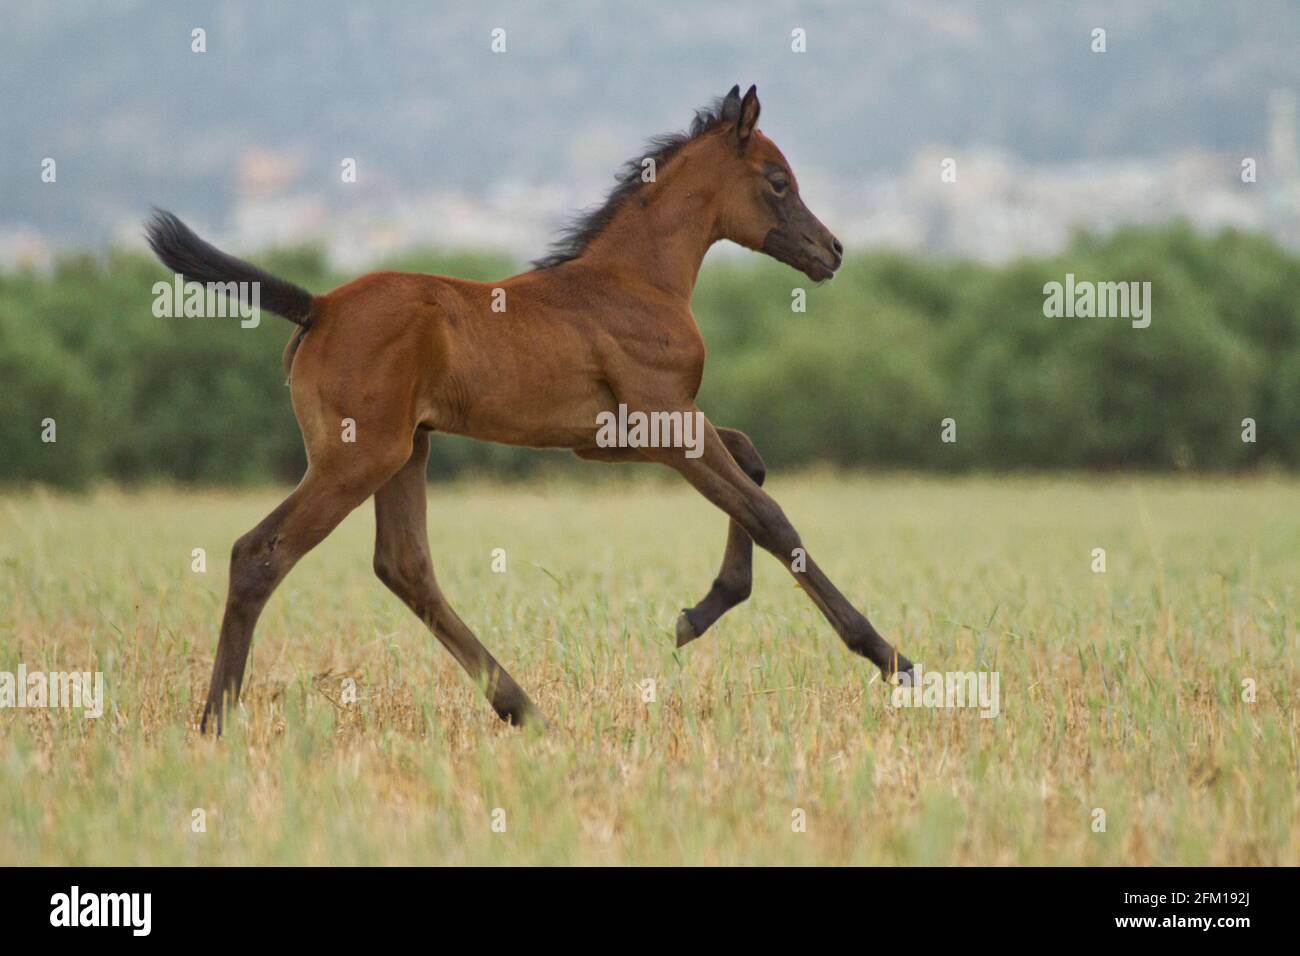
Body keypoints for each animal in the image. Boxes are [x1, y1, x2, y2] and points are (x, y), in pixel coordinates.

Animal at [146, 84, 914, 734]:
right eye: (778, 181)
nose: (831, 250)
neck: (635, 280)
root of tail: (320, 307)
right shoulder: (666, 419)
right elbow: (768, 512)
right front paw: (889, 656)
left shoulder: (619, 435)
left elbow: (751, 461)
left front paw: (700, 611)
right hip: (357, 456)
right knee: (261, 553)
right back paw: (215, 722)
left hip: (407, 449)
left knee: (405, 567)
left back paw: (525, 710)